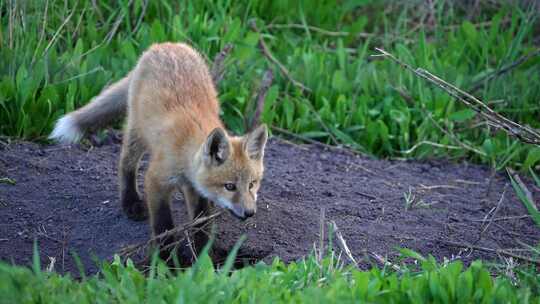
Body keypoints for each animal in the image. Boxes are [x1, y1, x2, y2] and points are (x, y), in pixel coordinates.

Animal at [49, 41, 268, 254]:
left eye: (252, 184)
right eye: (229, 186)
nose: (250, 212)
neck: (185, 151)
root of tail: (164, 44)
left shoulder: (195, 187)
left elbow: (201, 222)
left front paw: (204, 253)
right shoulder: (156, 179)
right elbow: (163, 225)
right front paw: (166, 258)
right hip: (137, 131)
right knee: (126, 163)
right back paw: (130, 202)